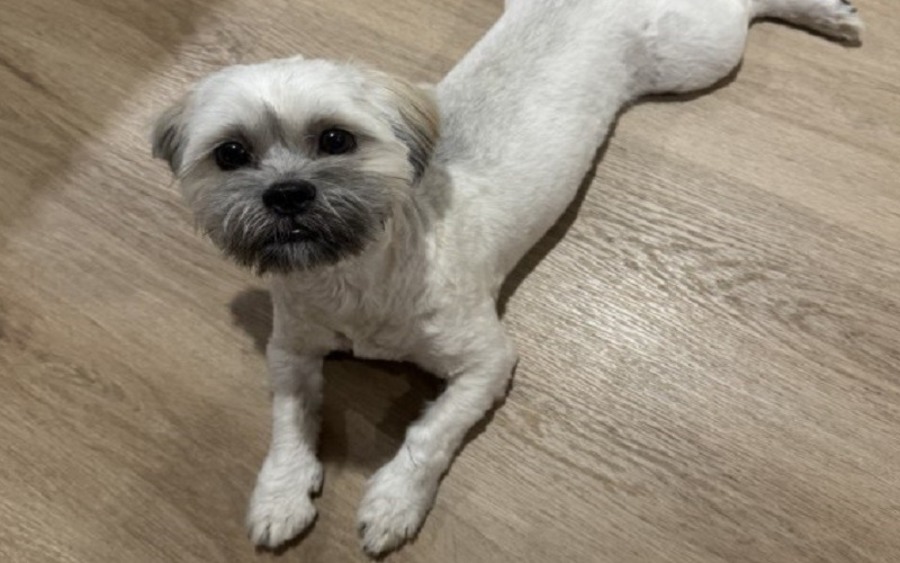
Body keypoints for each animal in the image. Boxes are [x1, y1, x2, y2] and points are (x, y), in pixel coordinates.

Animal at [151, 0, 862, 555]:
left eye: (335, 140)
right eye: (232, 153)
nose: (287, 193)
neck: (355, 275)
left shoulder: (486, 361)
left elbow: (430, 433)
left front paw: (394, 501)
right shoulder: (291, 347)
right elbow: (289, 421)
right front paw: (281, 493)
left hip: (701, 53)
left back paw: (827, 15)